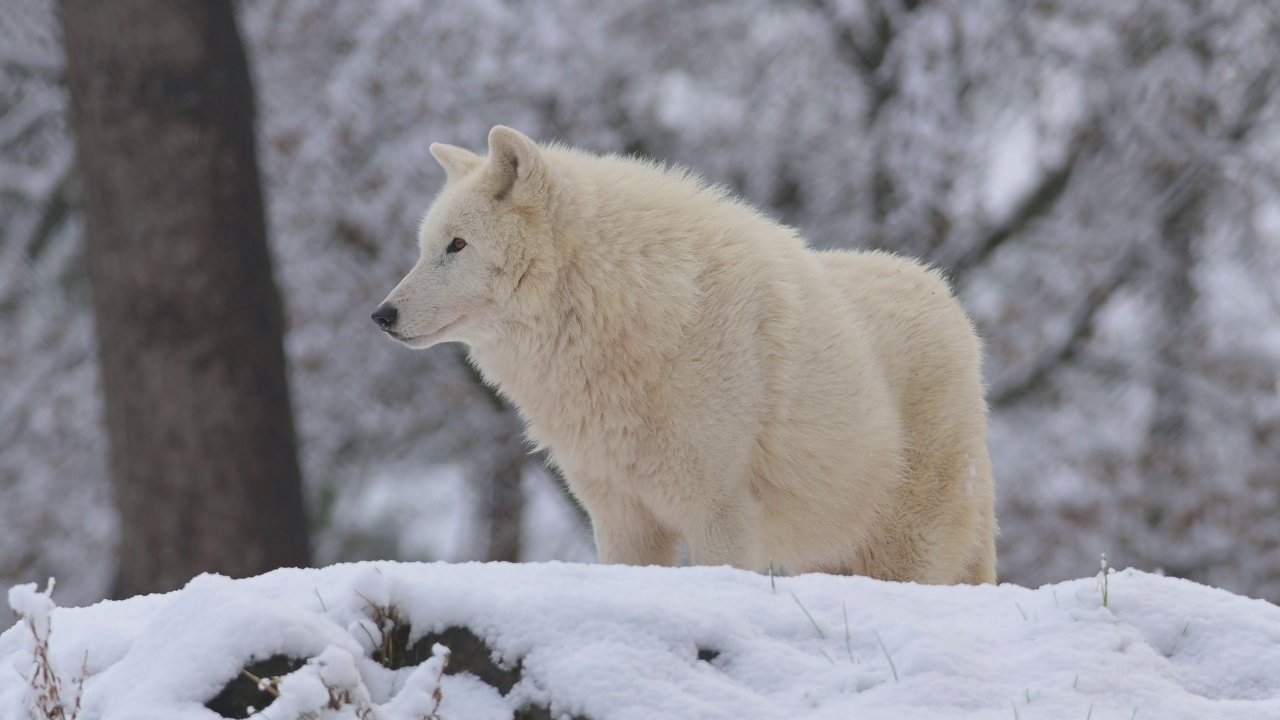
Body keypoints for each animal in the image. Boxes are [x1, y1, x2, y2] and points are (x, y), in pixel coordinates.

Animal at [373, 124, 993, 584]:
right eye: (425, 248)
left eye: (457, 246)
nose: (382, 315)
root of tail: (947, 295)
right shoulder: (620, 517)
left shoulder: (720, 513)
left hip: (905, 550)